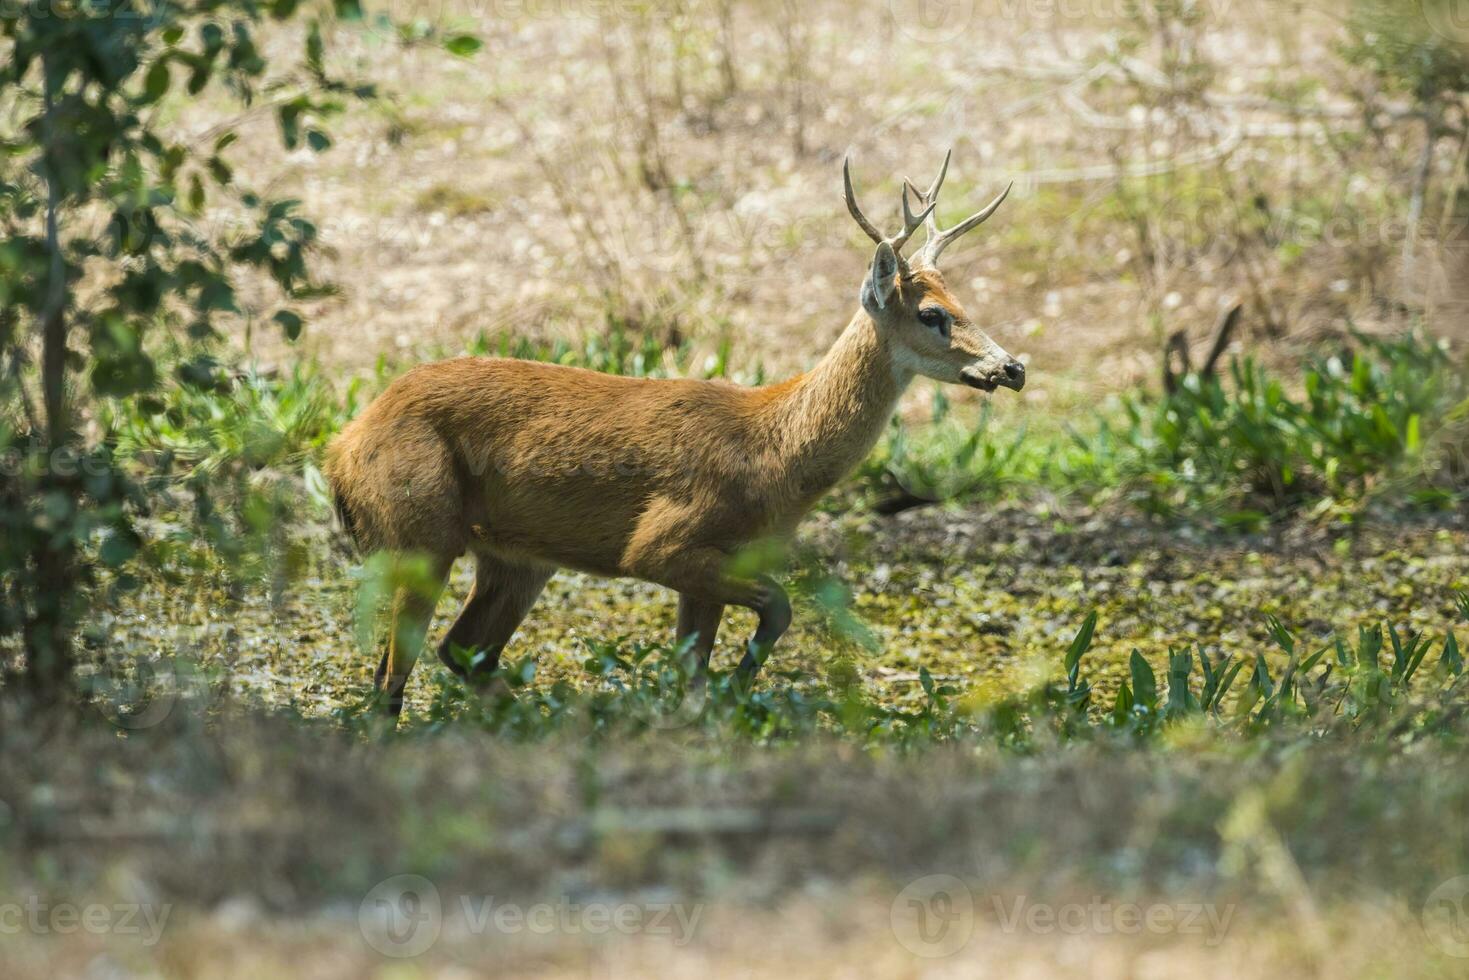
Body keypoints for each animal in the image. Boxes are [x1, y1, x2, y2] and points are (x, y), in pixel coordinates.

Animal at [327, 149, 1028, 714]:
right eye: (932, 313)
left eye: (963, 301)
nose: (1012, 367)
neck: (774, 452)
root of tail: (343, 448)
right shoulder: (661, 543)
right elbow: (777, 608)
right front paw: (738, 692)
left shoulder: (718, 562)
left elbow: (696, 672)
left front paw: (717, 709)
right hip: (421, 529)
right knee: (391, 676)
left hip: (516, 557)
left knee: (461, 651)